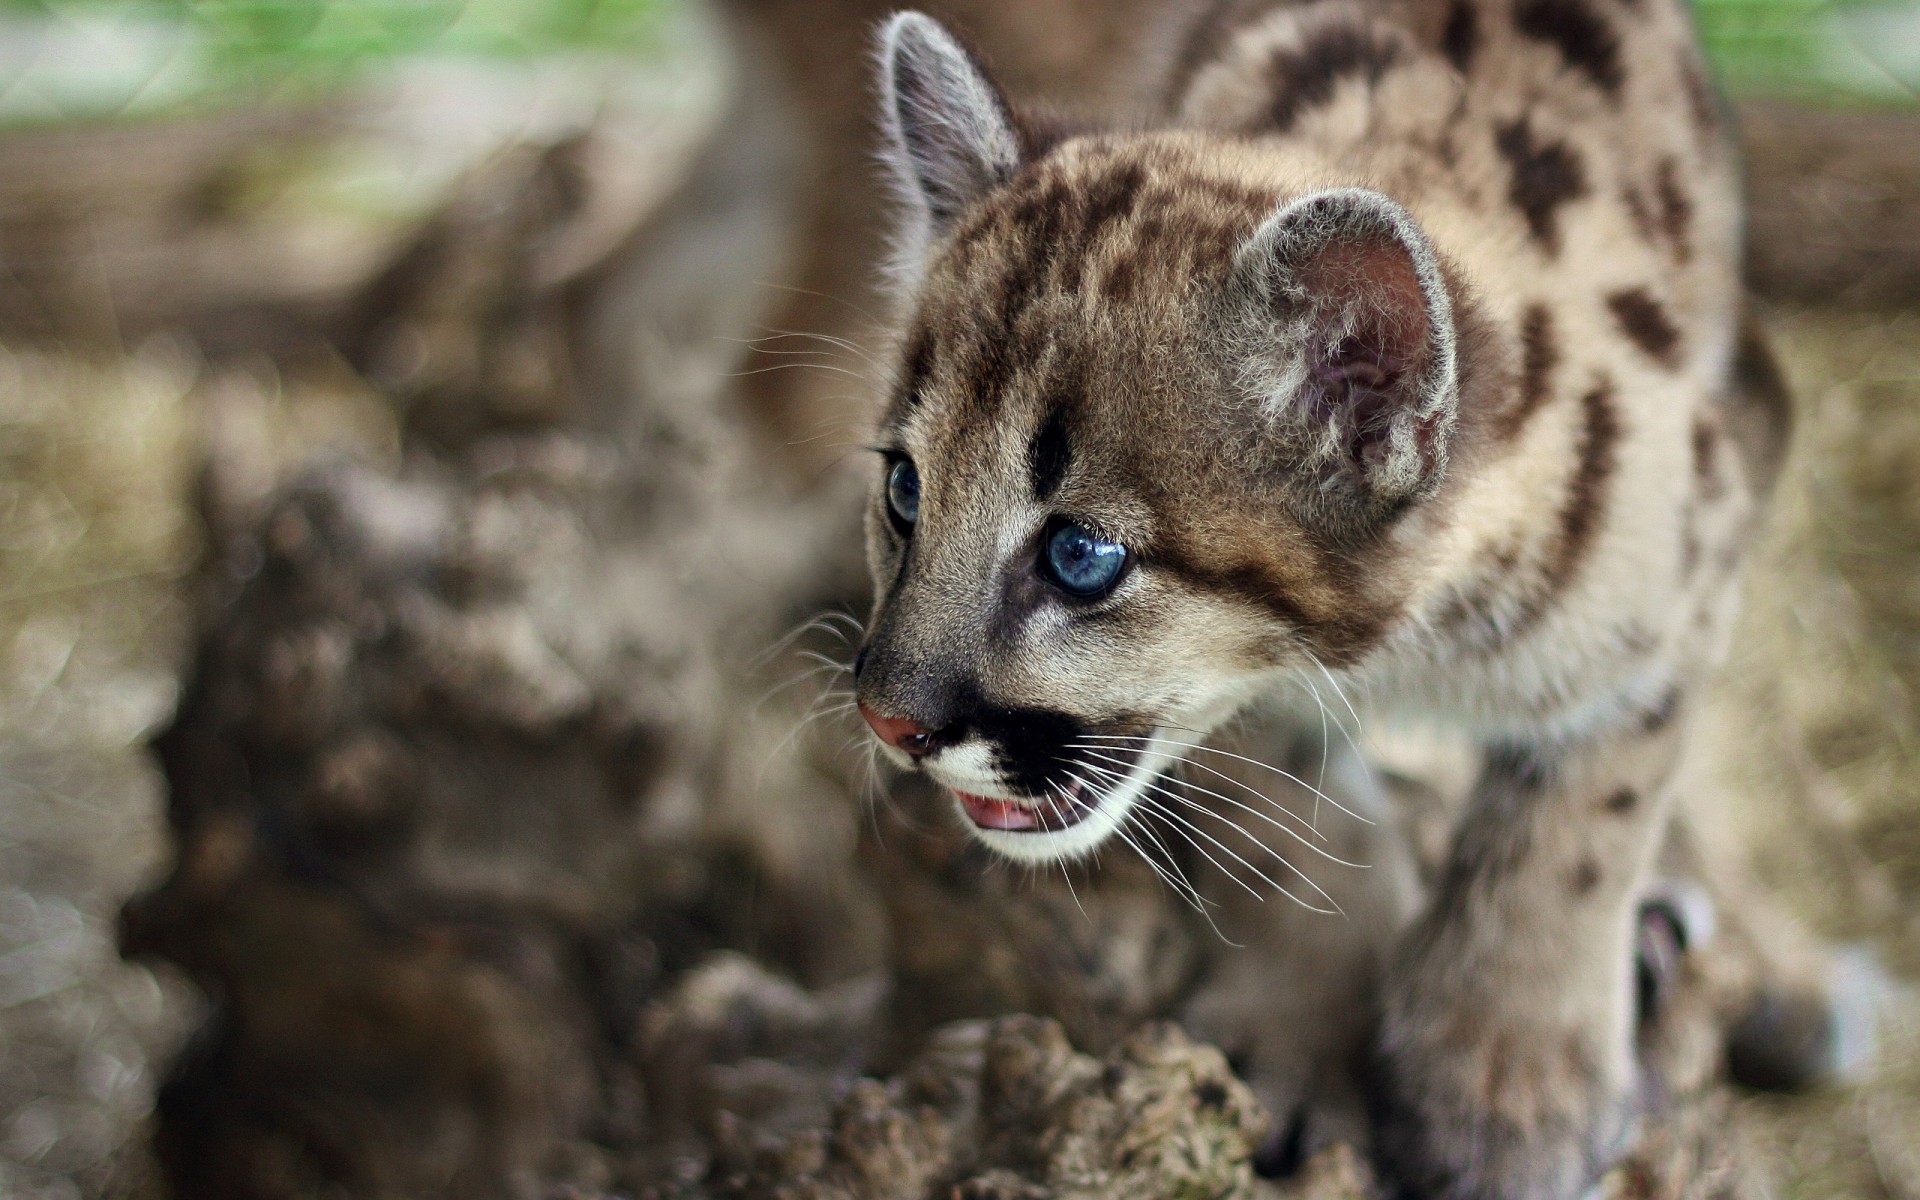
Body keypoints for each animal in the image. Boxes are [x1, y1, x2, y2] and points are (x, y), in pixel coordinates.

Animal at [842, 2, 1847, 1194]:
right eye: (905, 489)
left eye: (1081, 555)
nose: (888, 719)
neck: (1415, 641)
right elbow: (1293, 814)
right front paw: (1302, 1040)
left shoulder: (1707, 520)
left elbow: (1580, 819)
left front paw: (1507, 1084)